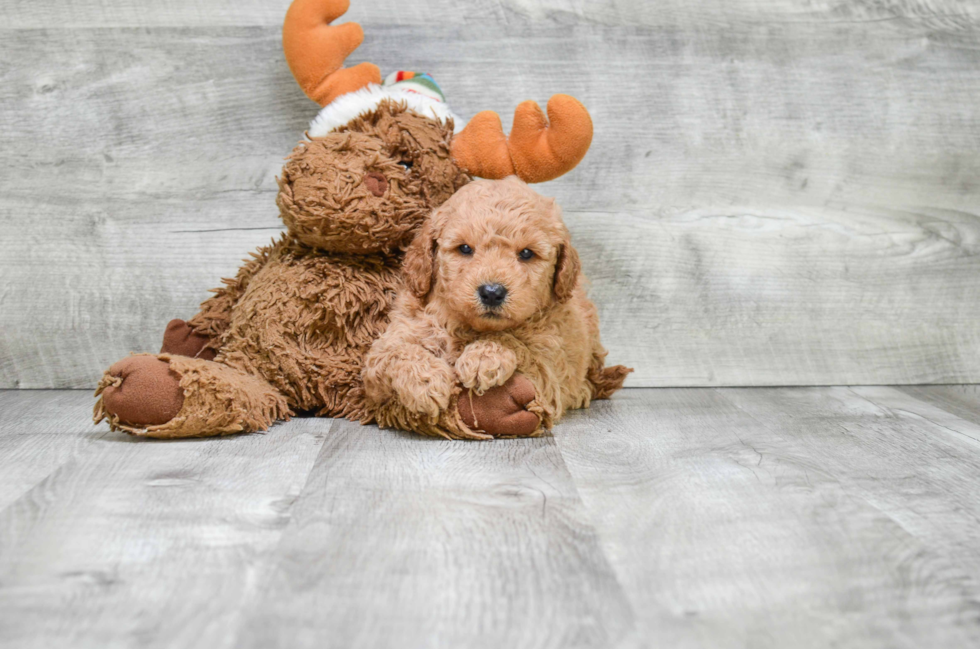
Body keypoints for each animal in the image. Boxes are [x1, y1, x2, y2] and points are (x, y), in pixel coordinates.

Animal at [364, 175, 632, 438]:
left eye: (526, 253)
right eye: (464, 248)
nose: (492, 293)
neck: (468, 326)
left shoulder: (549, 371)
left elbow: (515, 342)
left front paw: (483, 357)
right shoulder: (391, 343)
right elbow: (396, 351)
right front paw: (426, 383)